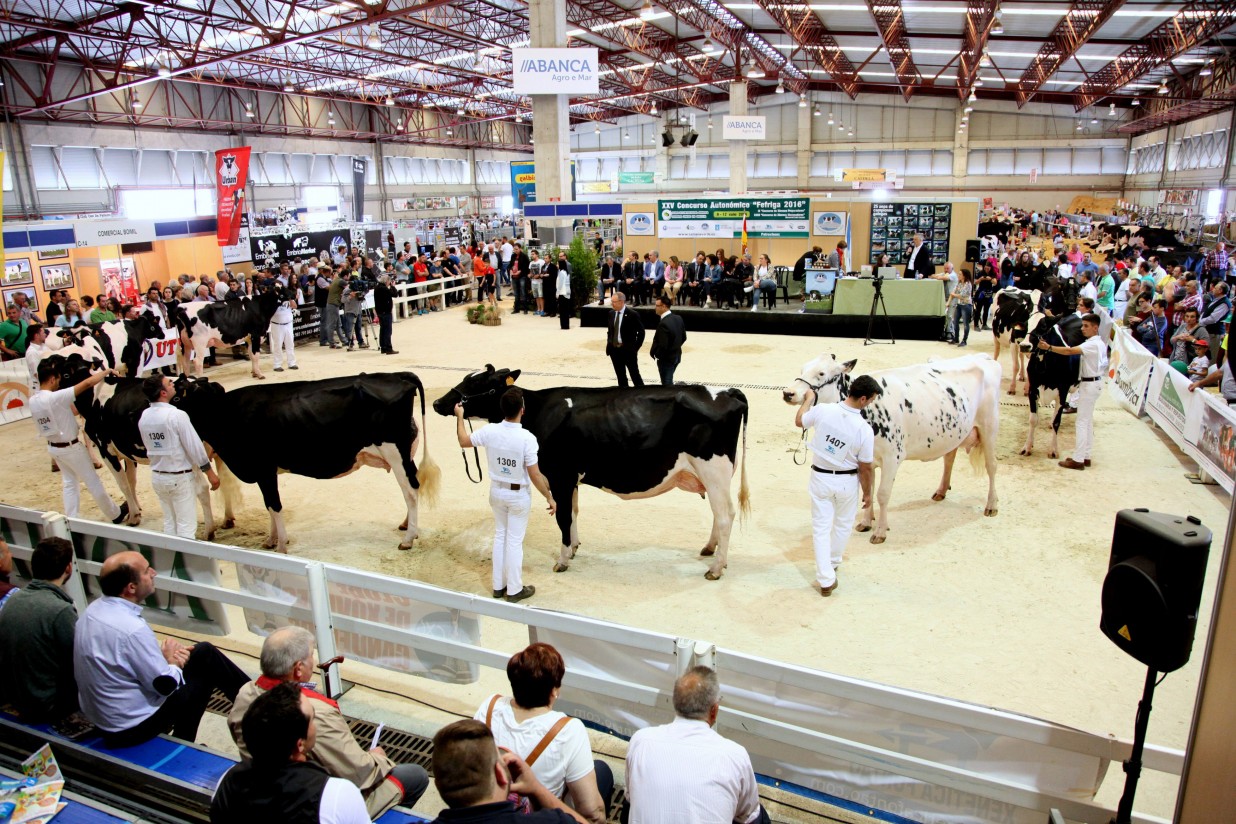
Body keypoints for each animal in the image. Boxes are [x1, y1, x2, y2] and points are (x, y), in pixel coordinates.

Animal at [169, 368, 440, 550]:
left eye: (176, 398)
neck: (227, 412)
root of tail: (398, 374)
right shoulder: (265, 472)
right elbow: (269, 505)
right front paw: (270, 539)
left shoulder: (263, 468)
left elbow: (274, 505)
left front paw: (281, 545)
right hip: (406, 453)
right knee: (411, 487)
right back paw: (408, 527)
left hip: (395, 451)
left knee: (411, 491)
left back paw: (408, 539)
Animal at [430, 368, 746, 580]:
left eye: (478, 383)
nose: (437, 403)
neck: (538, 411)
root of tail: (727, 391)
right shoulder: (571, 479)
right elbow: (574, 511)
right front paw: (574, 546)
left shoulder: (560, 475)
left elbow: (562, 515)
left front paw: (562, 560)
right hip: (714, 476)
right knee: (719, 514)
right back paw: (710, 549)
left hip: (714, 470)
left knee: (726, 515)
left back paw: (716, 568)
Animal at [781, 353, 1003, 541]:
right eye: (802, 369)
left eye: (821, 373)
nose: (788, 393)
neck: (869, 410)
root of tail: (983, 357)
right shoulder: (866, 458)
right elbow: (868, 490)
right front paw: (865, 522)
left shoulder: (892, 457)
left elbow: (882, 494)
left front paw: (880, 531)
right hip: (956, 432)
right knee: (949, 458)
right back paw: (941, 491)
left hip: (989, 428)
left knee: (992, 466)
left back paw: (991, 505)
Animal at [1018, 312, 1087, 462]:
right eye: (1026, 324)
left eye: (1043, 326)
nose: (1024, 346)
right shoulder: (1033, 389)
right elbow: (1033, 420)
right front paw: (1027, 447)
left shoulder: (1063, 391)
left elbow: (1057, 421)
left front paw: (1053, 450)